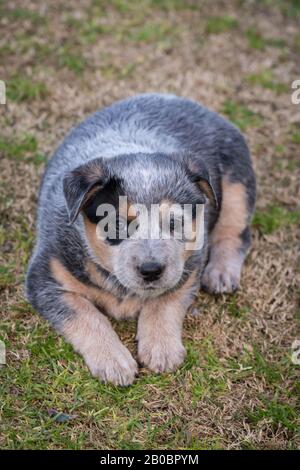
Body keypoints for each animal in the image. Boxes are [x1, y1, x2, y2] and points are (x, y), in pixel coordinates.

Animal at [25, 92, 255, 386]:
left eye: (174, 223)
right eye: (117, 225)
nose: (151, 270)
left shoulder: (189, 265)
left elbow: (165, 299)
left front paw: (161, 348)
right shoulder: (45, 278)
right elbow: (86, 315)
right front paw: (113, 361)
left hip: (237, 181)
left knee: (234, 232)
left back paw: (221, 272)